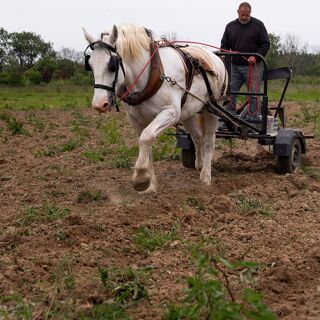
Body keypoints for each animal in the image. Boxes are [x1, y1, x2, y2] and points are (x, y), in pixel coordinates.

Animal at [83, 24, 228, 192]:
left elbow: (146, 138)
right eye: (90, 65)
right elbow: (146, 145)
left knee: (209, 140)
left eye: (112, 65)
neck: (153, 72)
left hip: (212, 109)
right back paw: (199, 164)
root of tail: (215, 57)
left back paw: (205, 176)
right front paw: (150, 186)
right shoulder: (136, 120)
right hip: (188, 113)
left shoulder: (170, 112)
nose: (99, 104)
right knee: (197, 136)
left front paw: (140, 178)